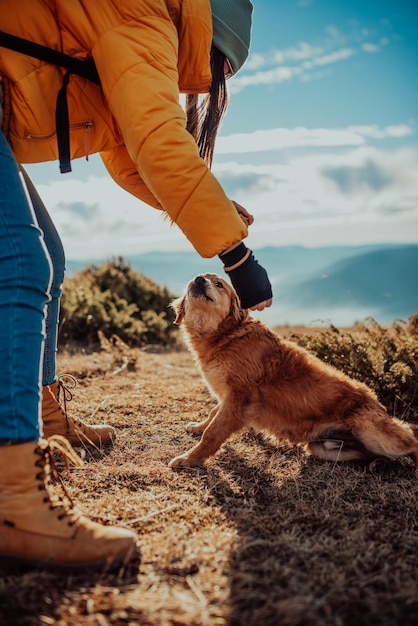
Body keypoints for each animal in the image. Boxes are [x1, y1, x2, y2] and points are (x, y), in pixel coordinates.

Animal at [168, 272, 416, 468]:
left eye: (219, 284)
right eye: (197, 278)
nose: (198, 280)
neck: (226, 336)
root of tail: (378, 404)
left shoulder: (239, 396)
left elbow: (213, 432)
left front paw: (189, 459)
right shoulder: (229, 396)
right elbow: (213, 415)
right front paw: (198, 427)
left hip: (375, 432)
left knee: (412, 440)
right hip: (326, 449)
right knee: (369, 455)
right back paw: (379, 464)